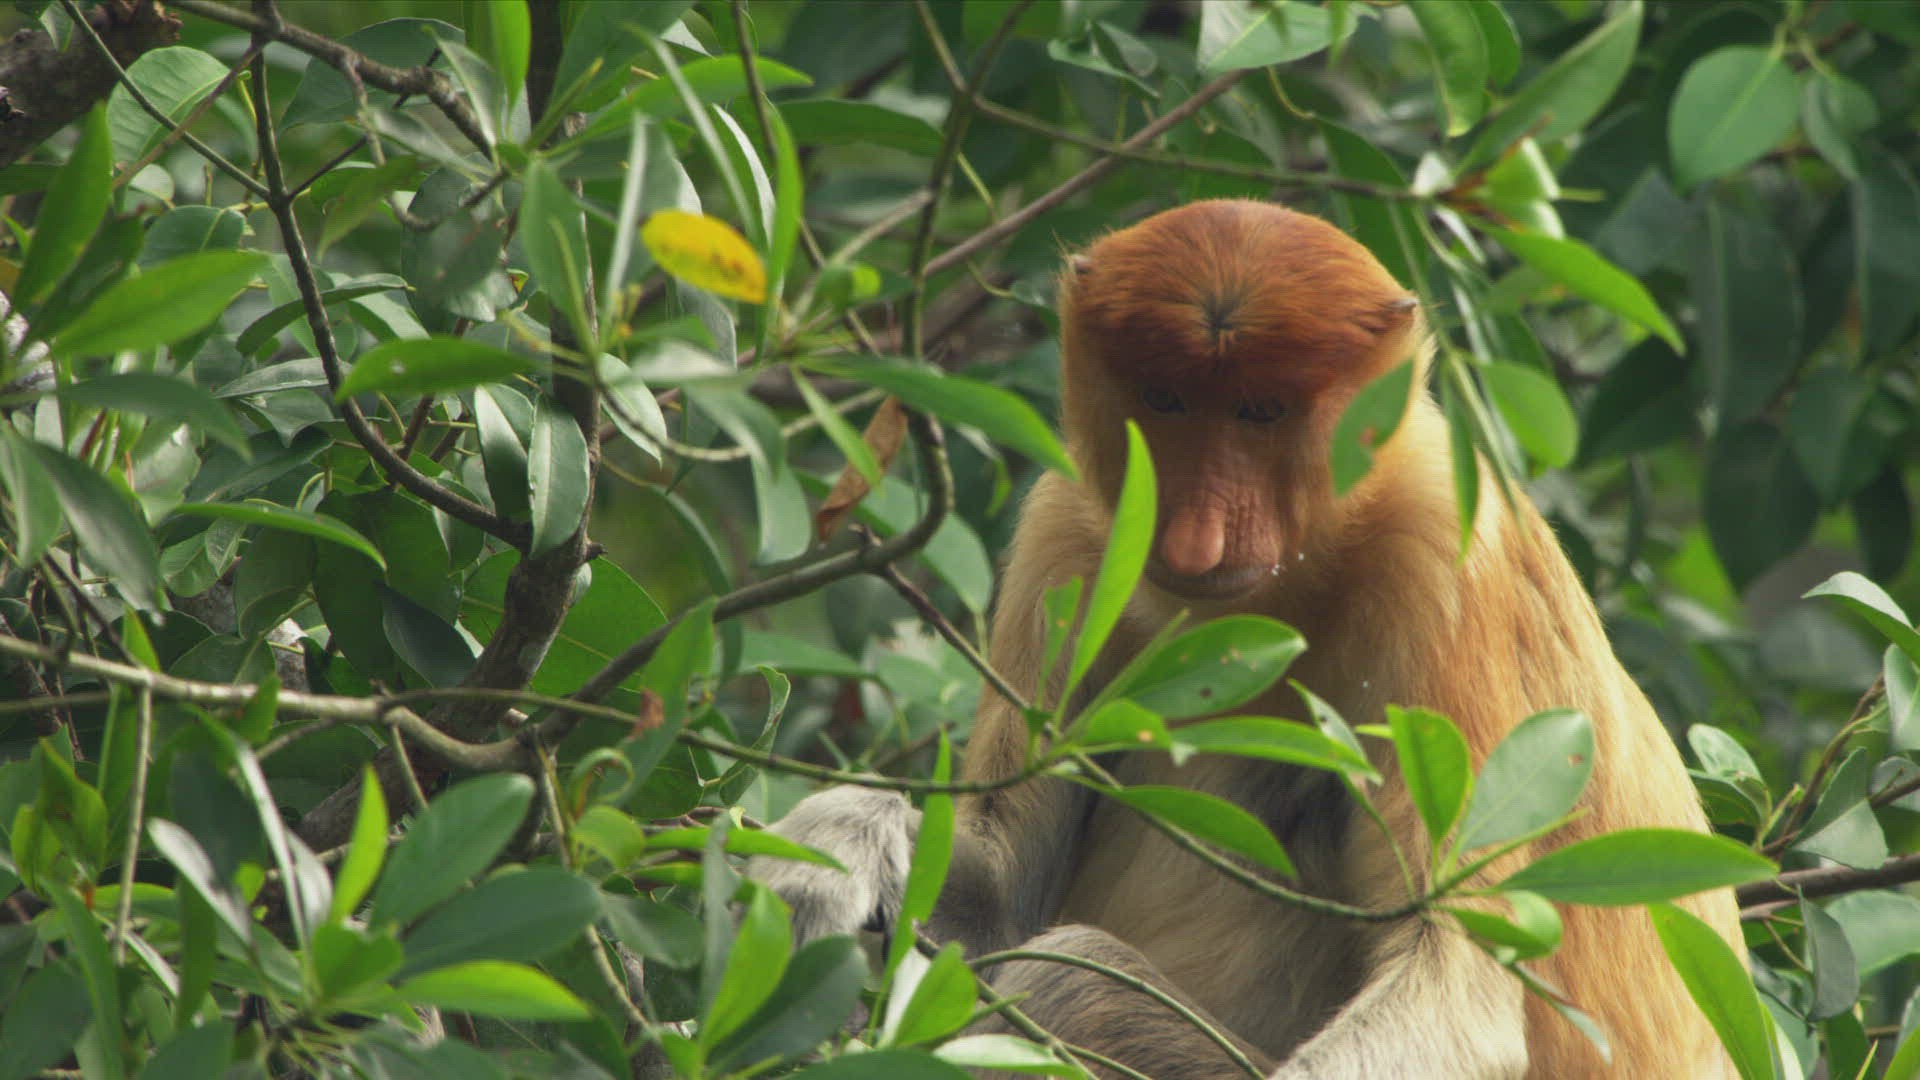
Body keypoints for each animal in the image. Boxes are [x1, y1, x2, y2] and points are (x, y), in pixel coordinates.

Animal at [752, 200, 1742, 1078]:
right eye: (1166, 399)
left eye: (1262, 411)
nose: (1195, 540)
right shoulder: (1071, 527)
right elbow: (996, 895)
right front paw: (829, 850)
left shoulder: (1446, 562)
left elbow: (1458, 984)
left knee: (1068, 982)